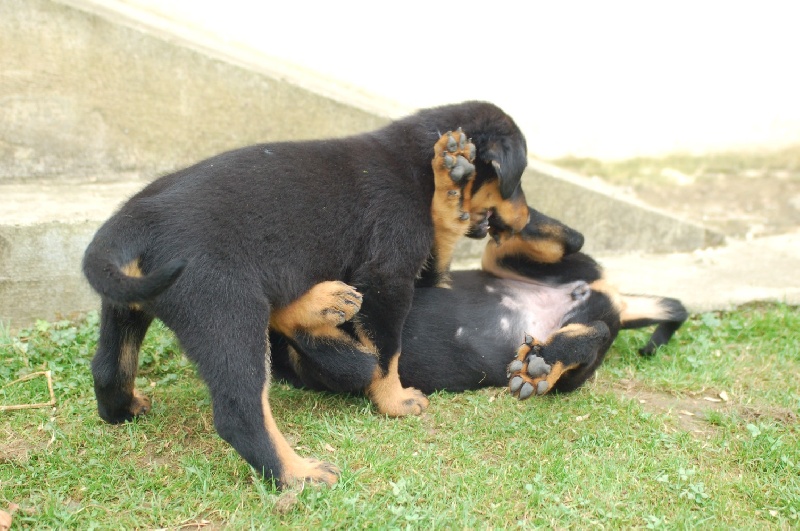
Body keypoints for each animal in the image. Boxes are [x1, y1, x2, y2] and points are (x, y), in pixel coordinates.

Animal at [81, 101, 532, 490]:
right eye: (516, 182)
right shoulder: (387, 276)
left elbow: (442, 235)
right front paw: (396, 401)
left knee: (108, 368)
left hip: (128, 306)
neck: (409, 160)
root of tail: (134, 221)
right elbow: (389, 353)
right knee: (240, 411)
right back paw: (298, 473)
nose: (527, 219)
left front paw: (451, 182)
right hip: (226, 310)